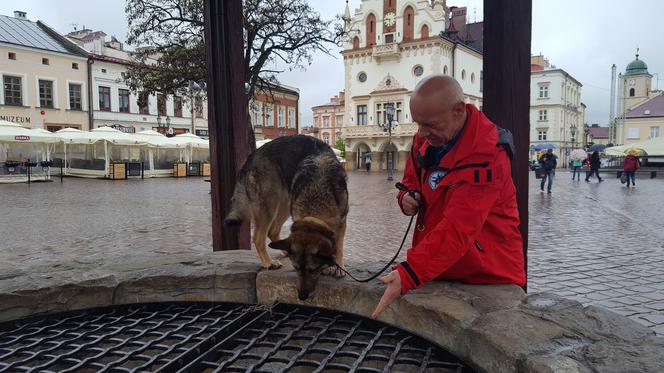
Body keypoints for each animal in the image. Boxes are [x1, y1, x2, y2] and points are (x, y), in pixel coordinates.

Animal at [224, 135, 350, 300]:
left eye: (312, 270)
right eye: (295, 268)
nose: (301, 296)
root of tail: (250, 158)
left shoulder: (342, 222)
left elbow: (339, 247)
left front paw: (338, 266)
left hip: (284, 204)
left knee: (272, 231)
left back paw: (282, 248)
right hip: (270, 205)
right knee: (258, 237)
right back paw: (268, 262)